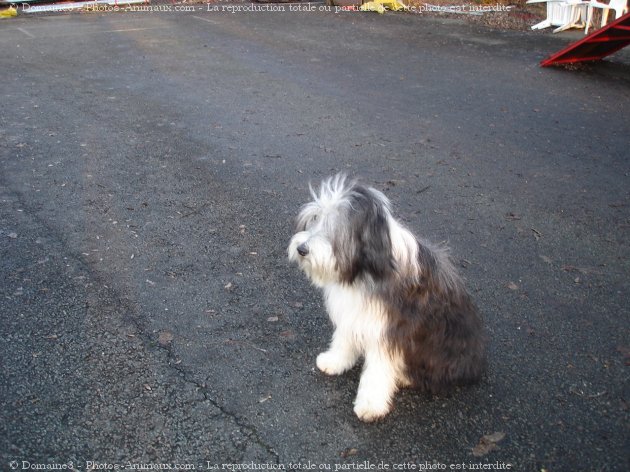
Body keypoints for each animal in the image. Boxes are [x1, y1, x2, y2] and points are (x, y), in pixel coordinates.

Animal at [288, 174, 486, 420]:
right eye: (316, 219)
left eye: (336, 226)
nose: (302, 249)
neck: (367, 268)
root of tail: (476, 364)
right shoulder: (355, 312)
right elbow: (344, 339)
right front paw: (335, 361)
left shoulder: (390, 329)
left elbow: (378, 370)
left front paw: (370, 405)